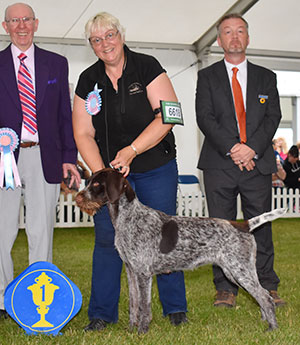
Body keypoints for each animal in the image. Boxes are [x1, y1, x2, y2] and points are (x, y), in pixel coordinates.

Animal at [75, 168, 284, 332]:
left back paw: (272, 328)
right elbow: (134, 304)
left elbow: (144, 307)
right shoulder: (131, 271)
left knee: (265, 297)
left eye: (96, 184)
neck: (128, 218)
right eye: (89, 181)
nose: (78, 197)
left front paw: (142, 331)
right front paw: (131, 330)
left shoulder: (143, 273)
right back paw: (265, 321)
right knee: (262, 295)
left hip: (240, 271)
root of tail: (243, 225)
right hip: (234, 272)